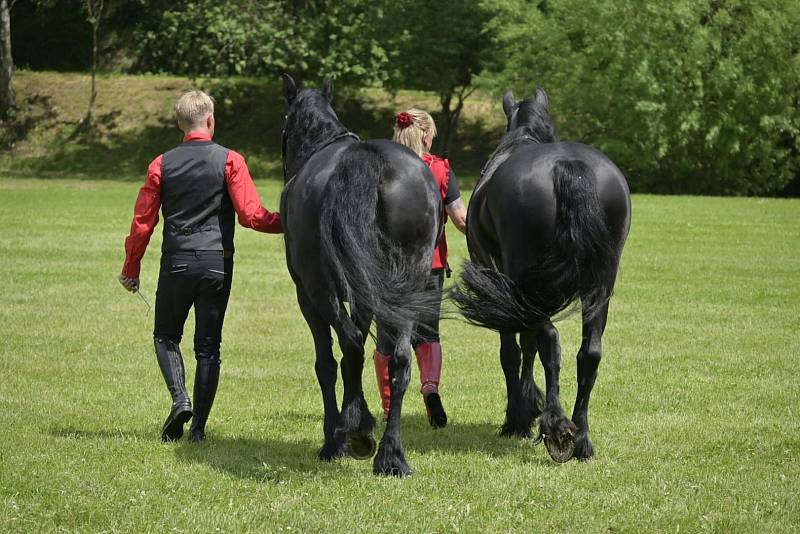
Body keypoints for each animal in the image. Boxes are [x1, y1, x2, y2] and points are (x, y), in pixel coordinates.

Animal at [450, 89, 632, 464]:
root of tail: (569, 167)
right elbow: (528, 344)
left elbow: (513, 351)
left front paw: (518, 416)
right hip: (600, 285)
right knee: (589, 353)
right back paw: (581, 438)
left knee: (549, 339)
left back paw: (556, 427)